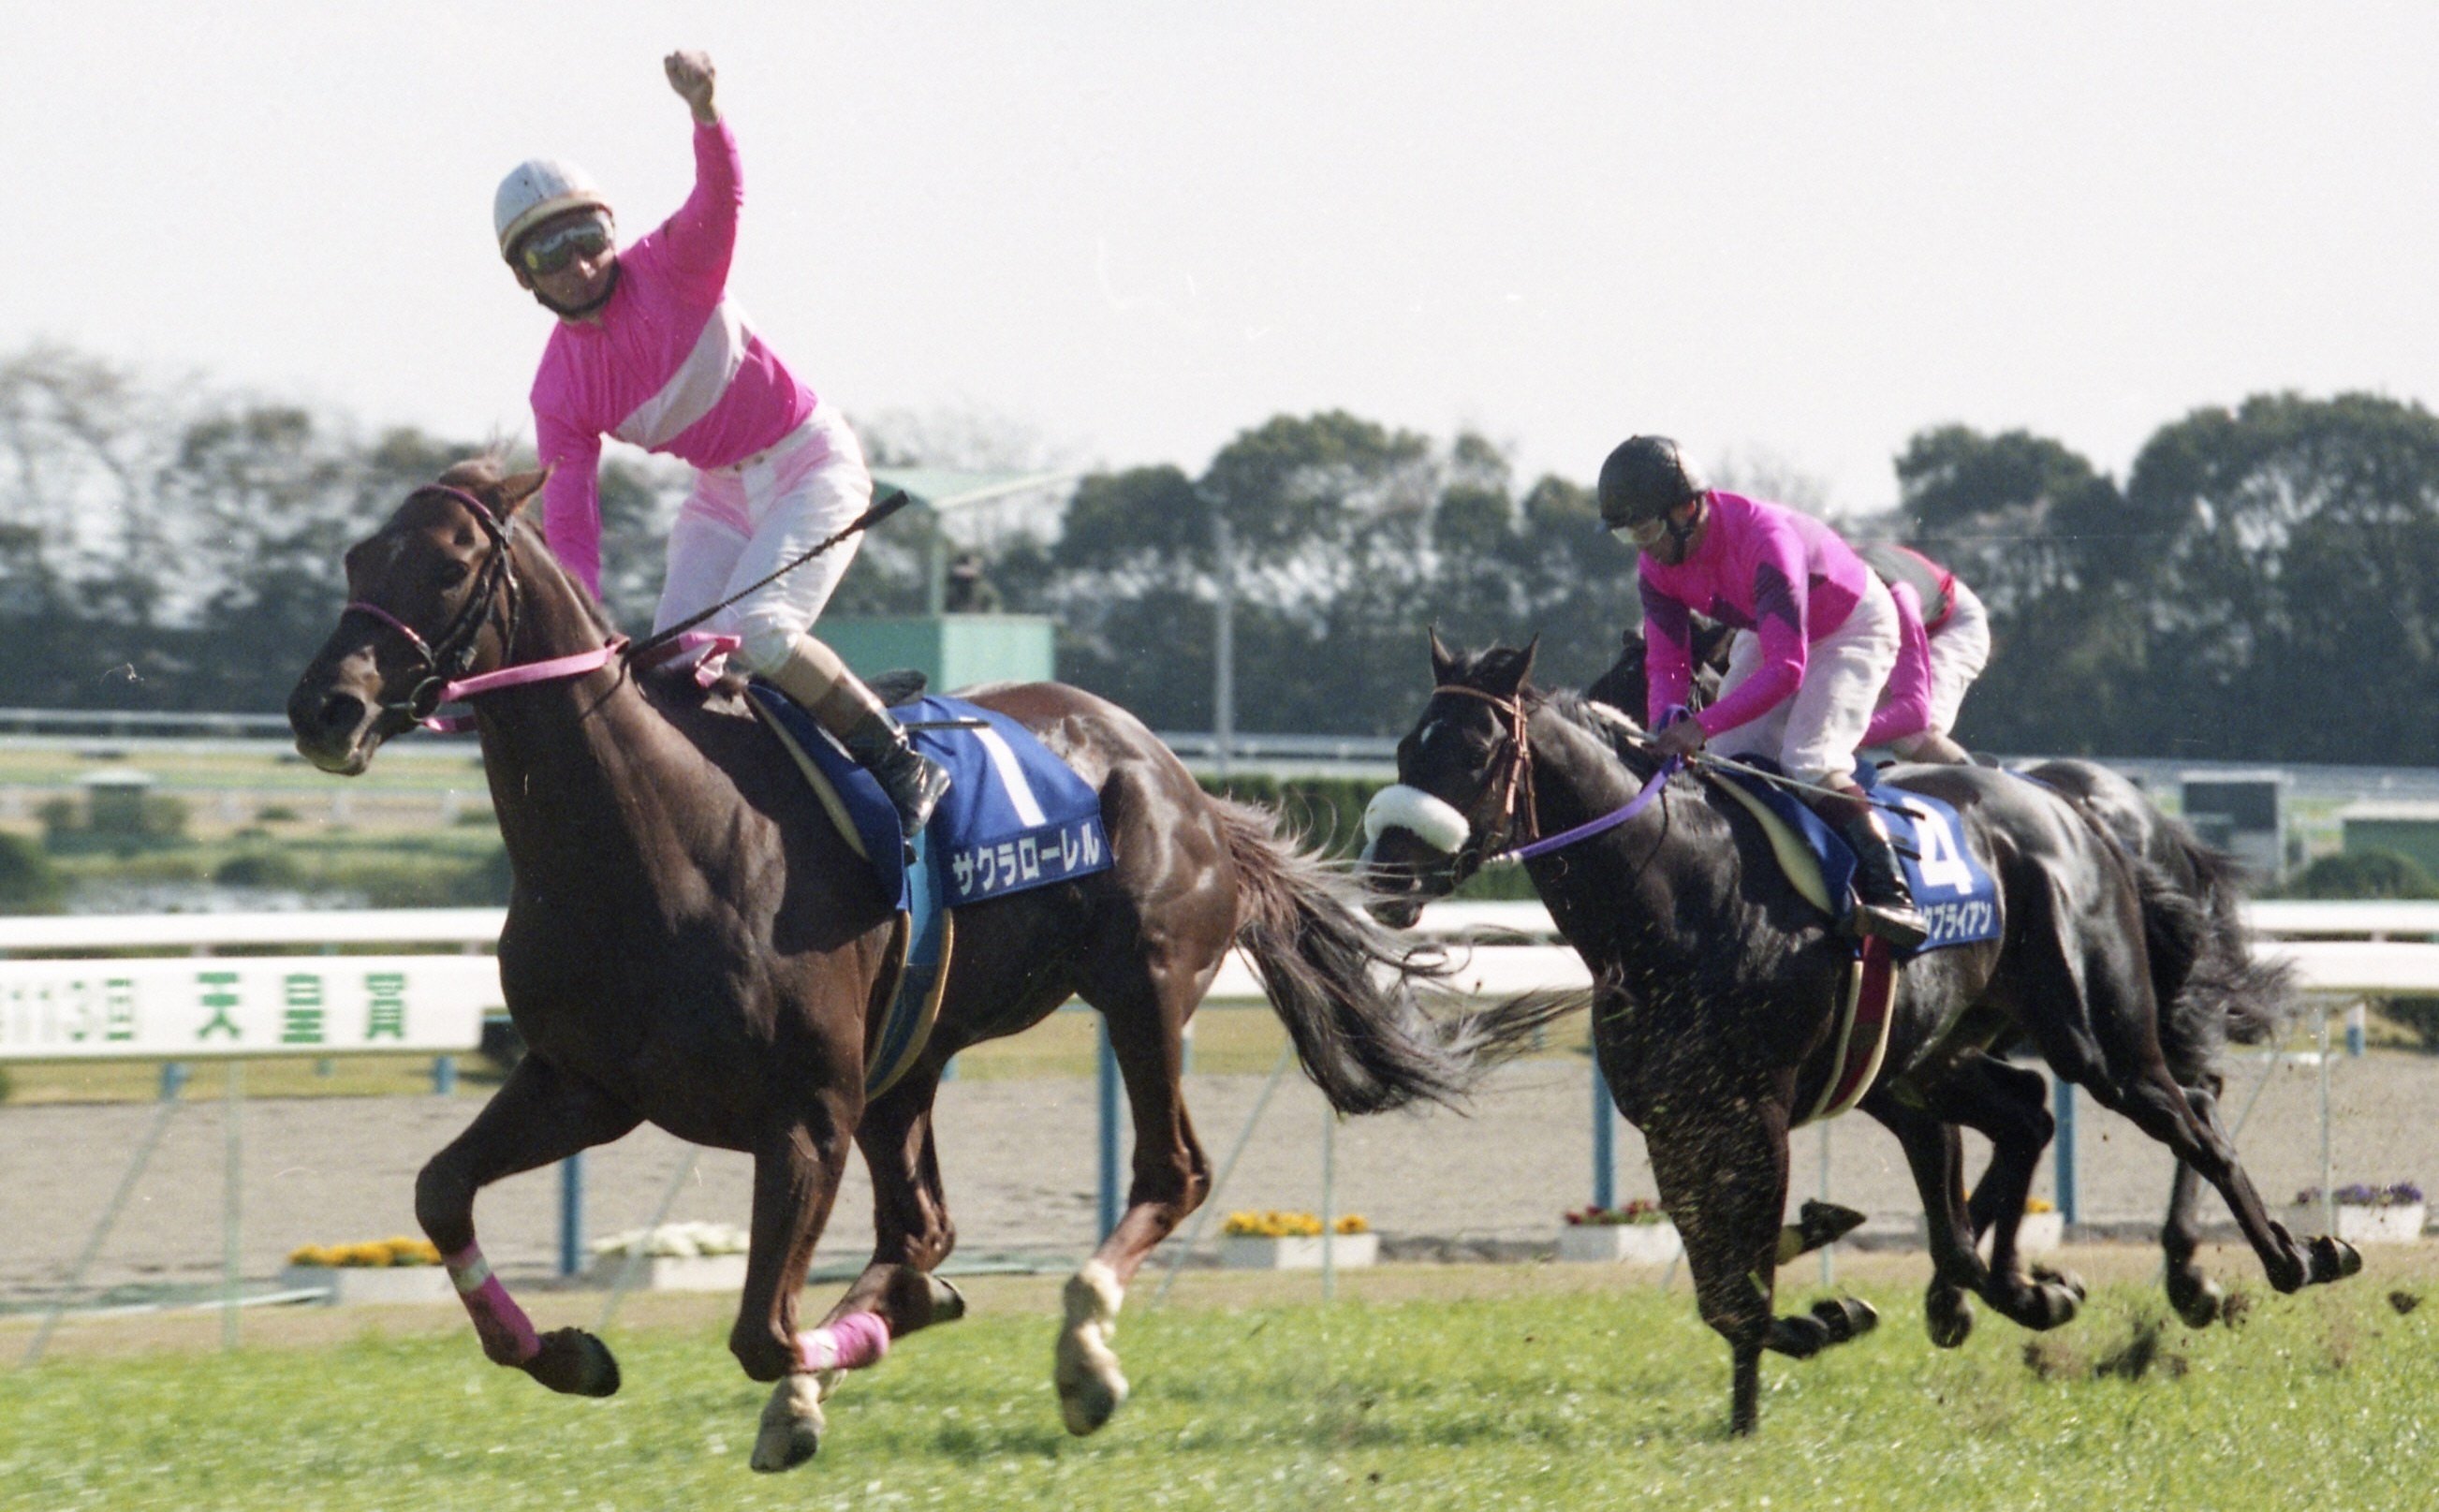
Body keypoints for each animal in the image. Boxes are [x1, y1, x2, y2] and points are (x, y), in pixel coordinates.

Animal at [280, 462, 1541, 1473]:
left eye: (449, 563)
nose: (324, 705)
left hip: (1139, 986)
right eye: (356, 554)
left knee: (1169, 1171)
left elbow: (761, 1328)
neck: (653, 835)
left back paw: (1081, 1355)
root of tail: (1180, 778)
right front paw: (568, 1351)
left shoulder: (807, 1110)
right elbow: (439, 1189)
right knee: (921, 1226)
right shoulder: (583, 1082)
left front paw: (822, 1368)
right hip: (914, 1057)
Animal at [1365, 634, 2351, 1433]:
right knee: (2031, 1111)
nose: (1382, 874)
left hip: (2099, 1034)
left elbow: (1747, 1276)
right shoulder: (1674, 1118)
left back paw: (2282, 1259)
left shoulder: (1756, 1109)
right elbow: (1721, 1284)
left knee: (2191, 1116)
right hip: (1941, 1056)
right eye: (1407, 745)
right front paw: (1801, 1347)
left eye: (1474, 750)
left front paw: (1799, 1345)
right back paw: (2020, 1288)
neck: (1676, 895)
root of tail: (2078, 816)